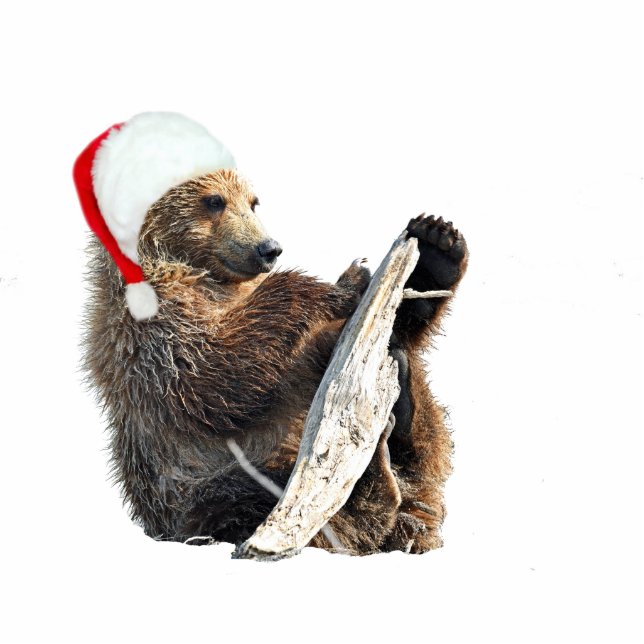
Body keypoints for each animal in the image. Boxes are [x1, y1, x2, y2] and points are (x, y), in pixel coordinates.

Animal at [82, 168, 468, 554]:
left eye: (253, 202)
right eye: (214, 200)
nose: (268, 248)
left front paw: (430, 248)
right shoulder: (149, 333)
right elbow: (217, 368)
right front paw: (343, 283)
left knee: (425, 439)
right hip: (194, 489)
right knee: (249, 501)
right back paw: (370, 484)